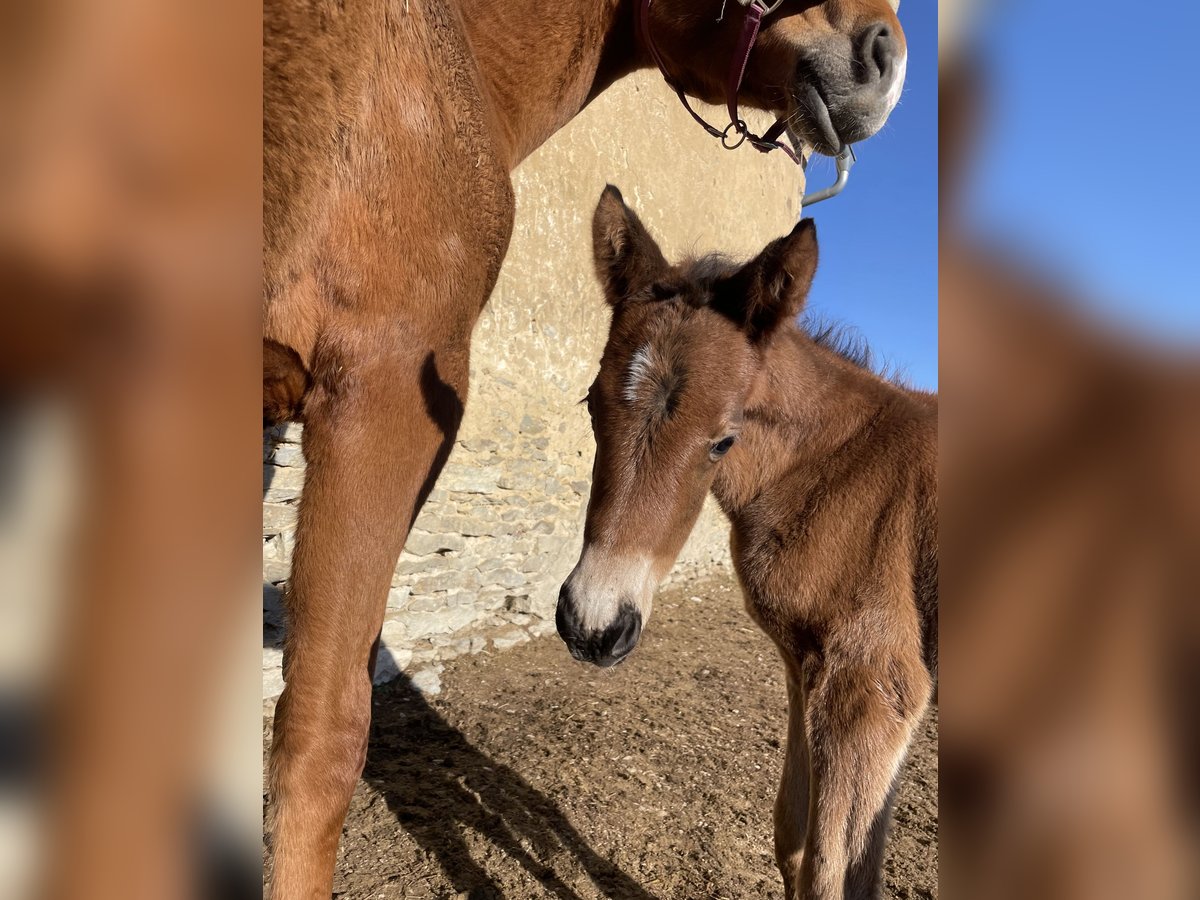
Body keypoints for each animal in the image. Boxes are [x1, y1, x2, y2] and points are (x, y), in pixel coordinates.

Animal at [556, 187, 940, 897]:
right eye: (592, 405)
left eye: (723, 439)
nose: (594, 625)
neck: (833, 465)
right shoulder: (802, 667)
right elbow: (792, 838)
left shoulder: (874, 689)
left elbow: (833, 875)